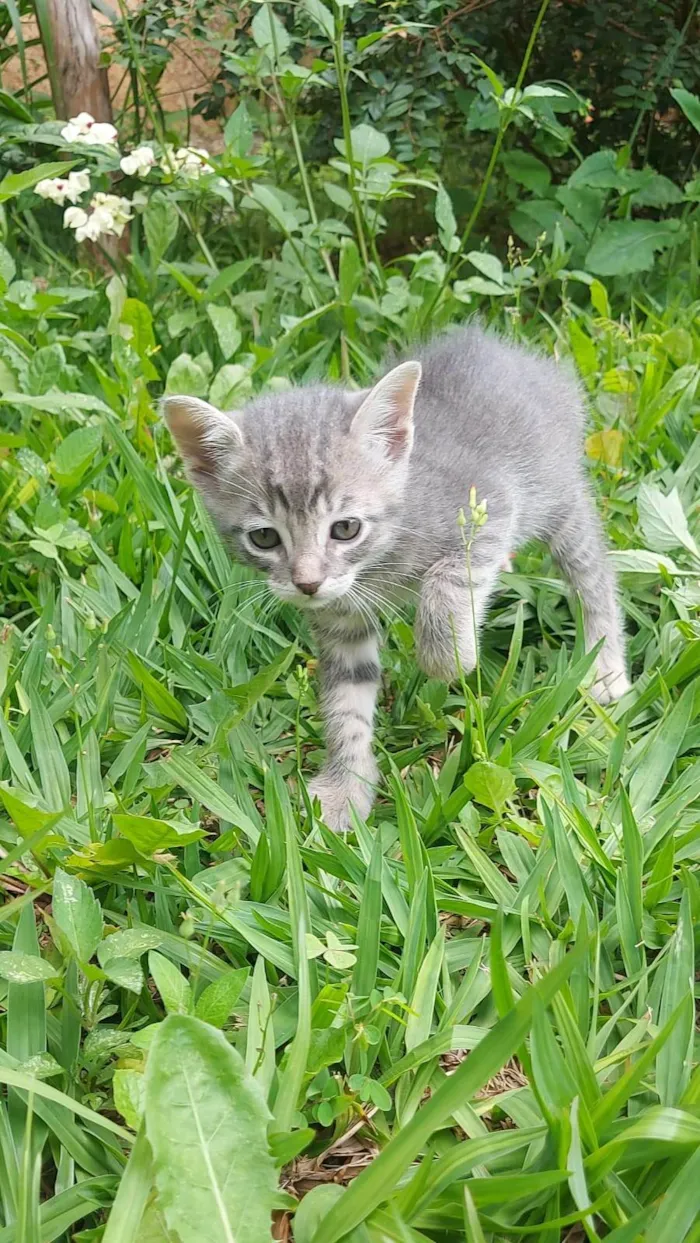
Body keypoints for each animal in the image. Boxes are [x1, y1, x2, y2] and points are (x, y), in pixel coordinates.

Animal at [162, 325, 629, 830]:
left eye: (346, 528)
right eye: (264, 537)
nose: (307, 583)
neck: (378, 562)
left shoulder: (491, 505)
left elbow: (449, 581)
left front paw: (450, 657)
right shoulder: (341, 619)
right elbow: (347, 701)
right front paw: (346, 786)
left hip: (555, 497)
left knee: (593, 571)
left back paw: (605, 664)